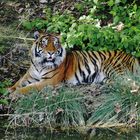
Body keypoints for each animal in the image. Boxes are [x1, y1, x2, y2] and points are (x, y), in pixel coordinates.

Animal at [7, 31, 140, 93]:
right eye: (44, 43)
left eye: (55, 44)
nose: (50, 53)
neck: (41, 64)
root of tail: (133, 57)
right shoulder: (29, 75)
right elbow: (19, 82)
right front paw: (9, 90)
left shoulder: (50, 81)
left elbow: (30, 87)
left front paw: (15, 94)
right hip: (108, 77)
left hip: (112, 68)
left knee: (130, 83)